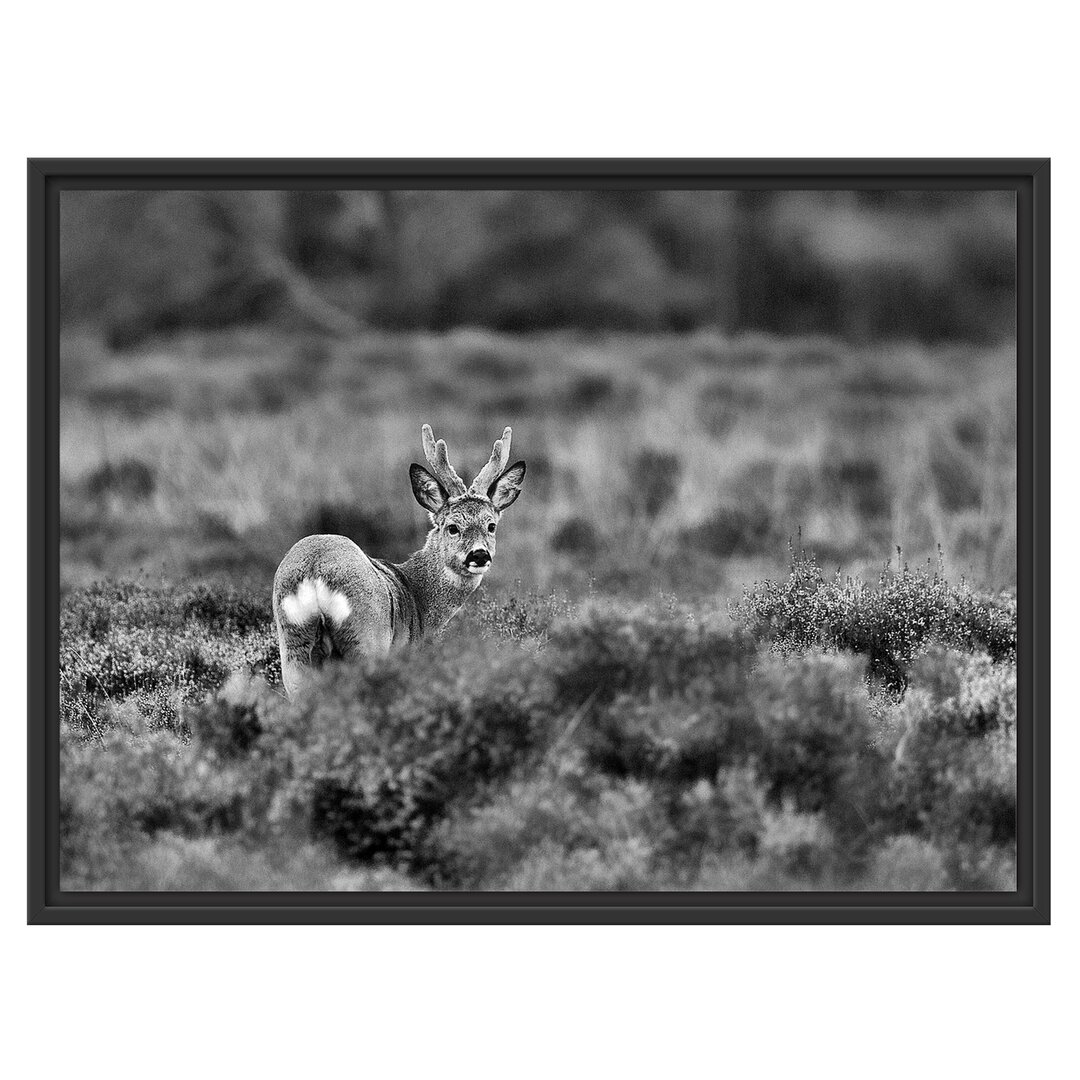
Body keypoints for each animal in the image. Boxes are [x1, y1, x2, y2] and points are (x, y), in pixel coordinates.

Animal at [270, 421, 522, 691]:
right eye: (452, 527)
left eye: (491, 526)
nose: (479, 555)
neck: (419, 599)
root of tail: (315, 572)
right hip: (367, 637)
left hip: (293, 644)